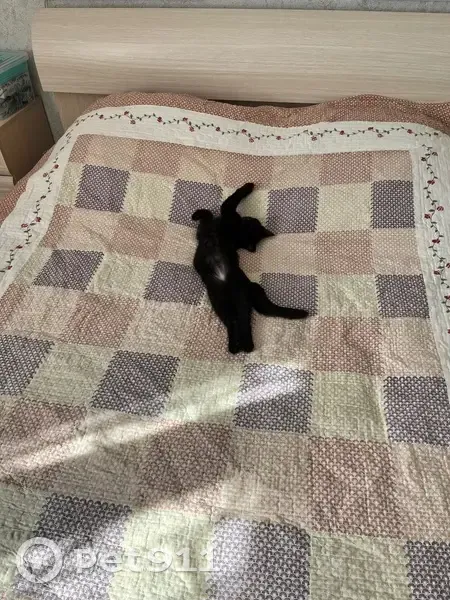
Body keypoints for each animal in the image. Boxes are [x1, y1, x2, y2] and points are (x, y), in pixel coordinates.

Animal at [192, 183, 309, 354]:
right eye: (252, 222)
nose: (249, 219)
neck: (236, 233)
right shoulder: (206, 229)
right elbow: (209, 215)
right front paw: (197, 215)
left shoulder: (225, 212)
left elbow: (225, 203)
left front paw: (248, 186)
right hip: (221, 303)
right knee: (233, 321)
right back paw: (234, 347)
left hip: (239, 299)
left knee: (243, 322)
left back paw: (246, 346)